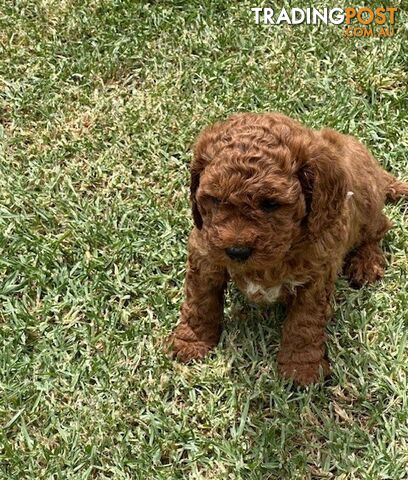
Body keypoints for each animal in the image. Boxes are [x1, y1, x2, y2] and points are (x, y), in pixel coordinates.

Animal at [167, 112, 406, 386]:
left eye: (271, 204)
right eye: (215, 200)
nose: (237, 251)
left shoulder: (318, 274)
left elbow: (304, 322)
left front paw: (300, 369)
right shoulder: (204, 251)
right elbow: (200, 300)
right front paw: (192, 341)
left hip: (367, 201)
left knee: (380, 227)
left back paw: (367, 263)